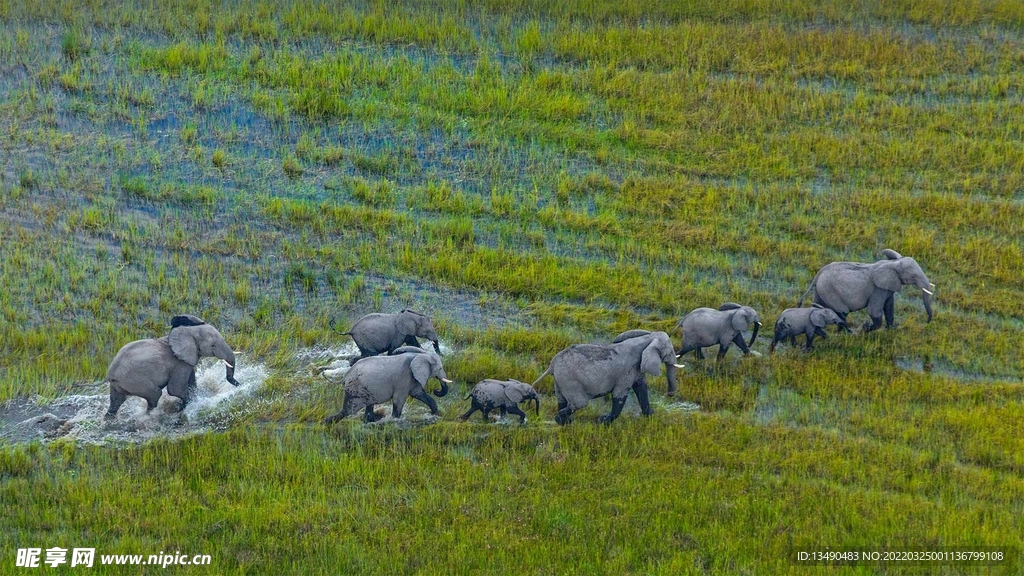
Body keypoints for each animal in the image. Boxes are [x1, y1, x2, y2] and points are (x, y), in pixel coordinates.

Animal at [104, 313, 239, 416]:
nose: (238, 384)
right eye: (213, 345)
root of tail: (110, 373)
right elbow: (175, 389)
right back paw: (148, 416)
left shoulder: (186, 360)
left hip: (119, 384)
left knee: (116, 401)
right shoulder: (179, 364)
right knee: (154, 395)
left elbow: (191, 382)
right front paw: (186, 406)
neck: (188, 331)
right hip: (134, 380)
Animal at [319, 344, 448, 422]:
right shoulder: (403, 378)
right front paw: (395, 420)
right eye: (440, 368)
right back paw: (326, 423)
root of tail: (345, 375)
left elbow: (418, 393)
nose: (436, 390)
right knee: (348, 410)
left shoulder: (412, 379)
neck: (418, 355)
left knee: (368, 405)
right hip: (356, 389)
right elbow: (398, 400)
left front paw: (435, 413)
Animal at [532, 330, 684, 424]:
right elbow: (619, 395)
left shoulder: (636, 369)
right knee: (580, 403)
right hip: (570, 380)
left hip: (560, 380)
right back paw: (560, 420)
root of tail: (552, 365)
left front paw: (650, 415)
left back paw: (565, 422)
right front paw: (603, 421)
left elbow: (641, 388)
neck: (647, 338)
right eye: (669, 352)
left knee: (562, 399)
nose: (669, 395)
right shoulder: (627, 371)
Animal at [798, 248, 937, 332]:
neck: (892, 263)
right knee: (842, 312)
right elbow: (874, 311)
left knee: (818, 306)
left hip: (821, 289)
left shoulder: (887, 288)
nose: (927, 322)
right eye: (913, 276)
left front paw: (892, 329)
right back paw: (847, 333)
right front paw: (866, 328)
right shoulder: (877, 289)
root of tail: (817, 275)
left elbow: (889, 306)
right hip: (829, 290)